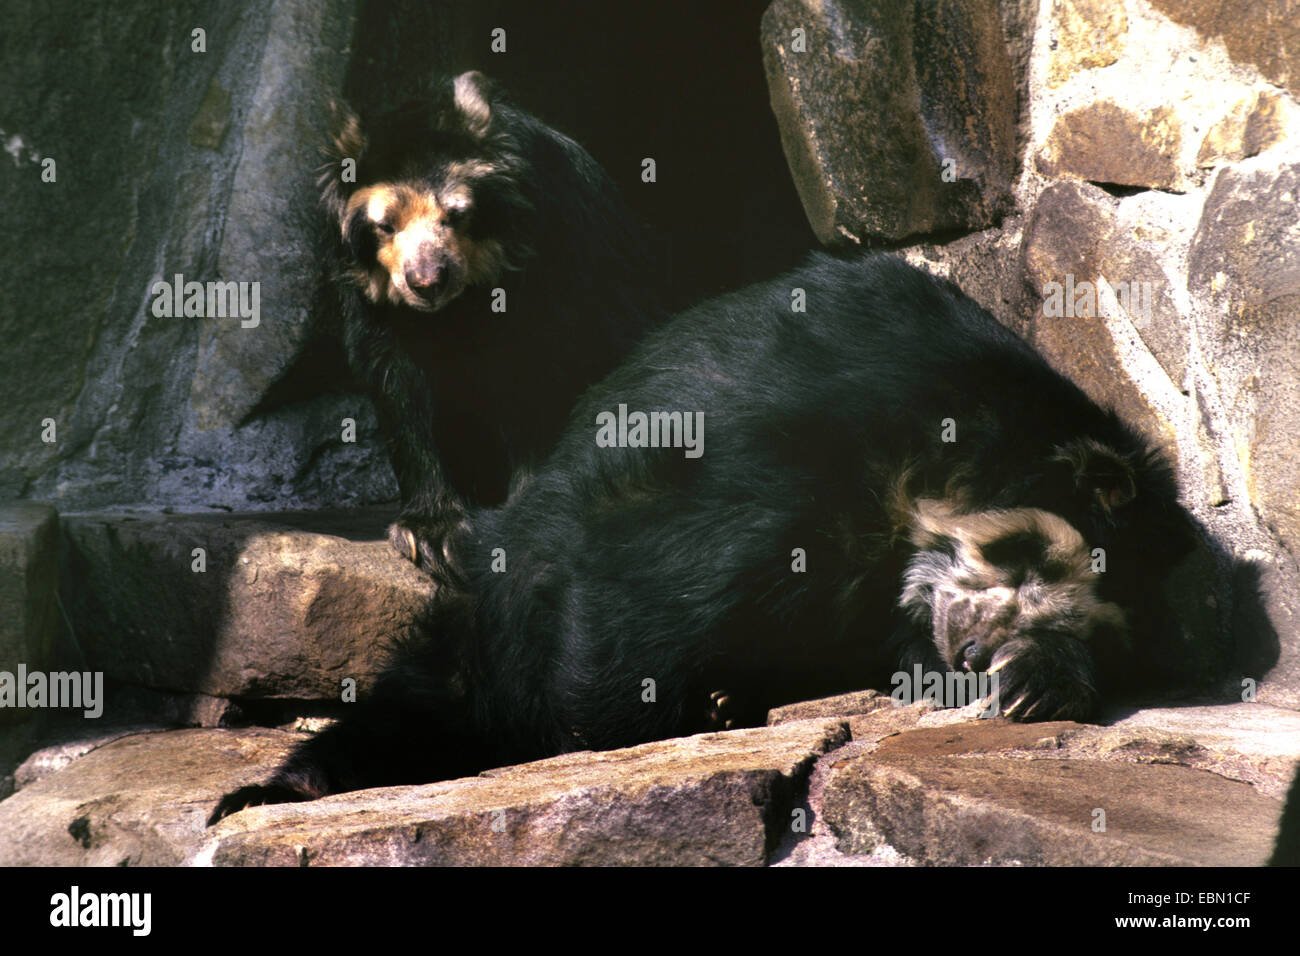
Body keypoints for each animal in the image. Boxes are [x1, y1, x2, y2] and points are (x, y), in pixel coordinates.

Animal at [210, 252, 1195, 820]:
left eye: (1065, 615)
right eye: (1020, 561)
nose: (978, 646)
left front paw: (1034, 684)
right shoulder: (820, 448)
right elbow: (646, 586)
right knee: (440, 688)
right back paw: (277, 789)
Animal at [322, 71, 666, 576]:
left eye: (457, 214)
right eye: (385, 225)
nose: (427, 281)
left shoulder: (554, 258)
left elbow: (540, 378)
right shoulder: (377, 305)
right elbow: (396, 384)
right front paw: (430, 534)